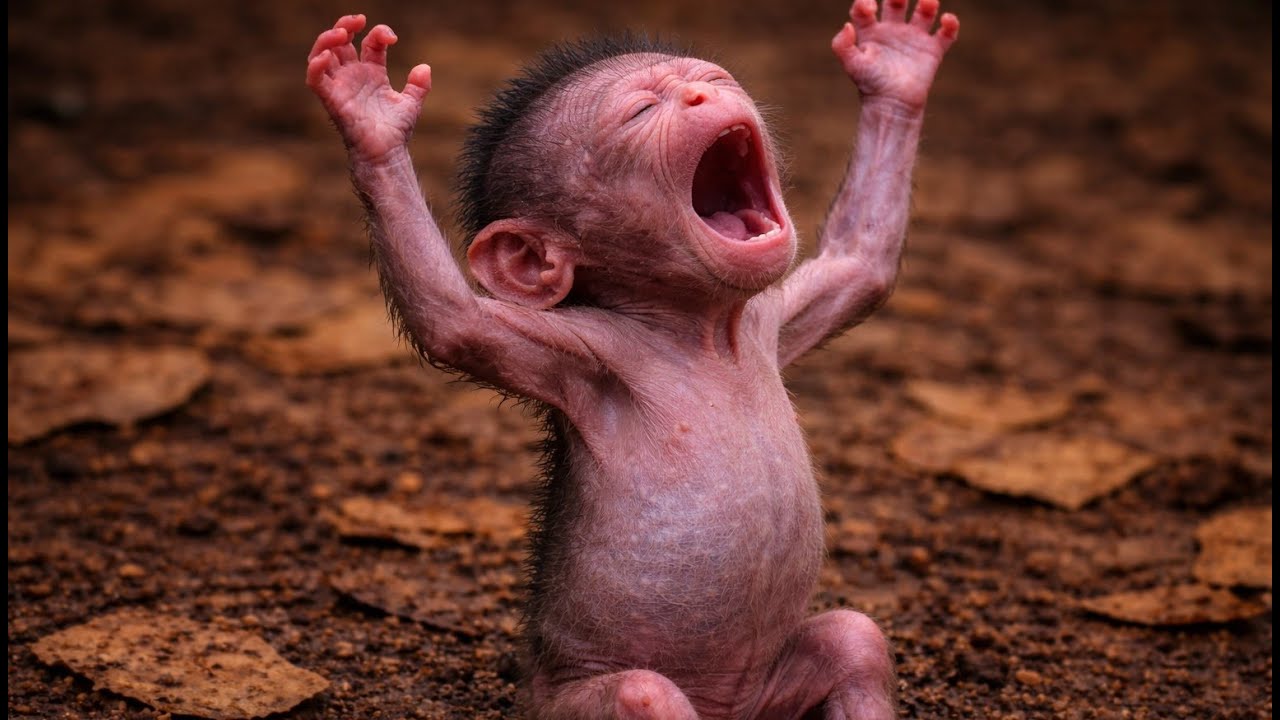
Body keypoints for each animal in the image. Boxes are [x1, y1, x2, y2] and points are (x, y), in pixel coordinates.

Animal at [307, 0, 957, 716]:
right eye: (641, 112)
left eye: (709, 78)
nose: (701, 94)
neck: (705, 334)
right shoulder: (583, 351)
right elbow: (449, 317)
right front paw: (369, 116)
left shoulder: (770, 320)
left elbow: (860, 263)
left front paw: (895, 66)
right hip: (571, 703)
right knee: (643, 694)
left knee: (853, 640)